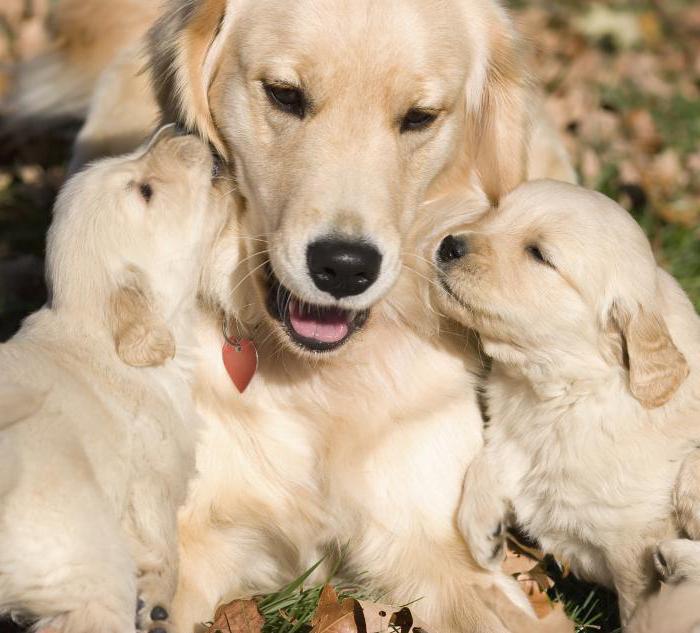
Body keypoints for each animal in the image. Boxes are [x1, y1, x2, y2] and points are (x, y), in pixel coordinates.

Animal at [0, 127, 227, 632]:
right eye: (144, 191)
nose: (181, 130)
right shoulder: (154, 476)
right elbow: (165, 545)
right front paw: (159, 602)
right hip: (88, 560)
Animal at [432, 180, 700, 624]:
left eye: (538, 254)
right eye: (495, 211)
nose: (448, 244)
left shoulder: (634, 540)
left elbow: (638, 608)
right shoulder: (512, 437)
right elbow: (486, 461)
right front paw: (483, 534)